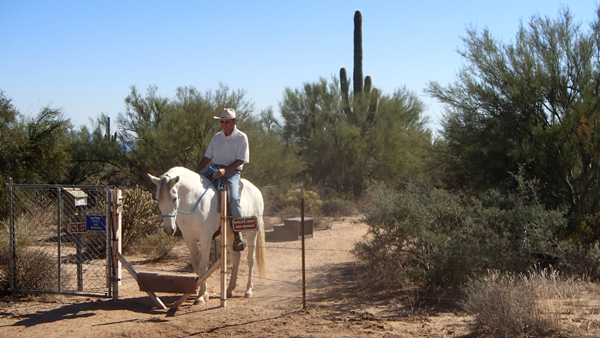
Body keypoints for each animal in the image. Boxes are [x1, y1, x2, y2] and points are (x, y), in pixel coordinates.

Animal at [147, 167, 264, 306]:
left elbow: (203, 266)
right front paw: (201, 293)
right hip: (229, 236)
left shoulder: (205, 238)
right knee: (236, 258)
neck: (194, 200)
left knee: (251, 259)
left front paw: (201, 296)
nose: (169, 229)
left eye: (174, 198)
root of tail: (256, 190)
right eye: (157, 199)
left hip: (252, 232)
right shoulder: (189, 238)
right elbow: (196, 264)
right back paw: (229, 289)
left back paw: (248, 291)